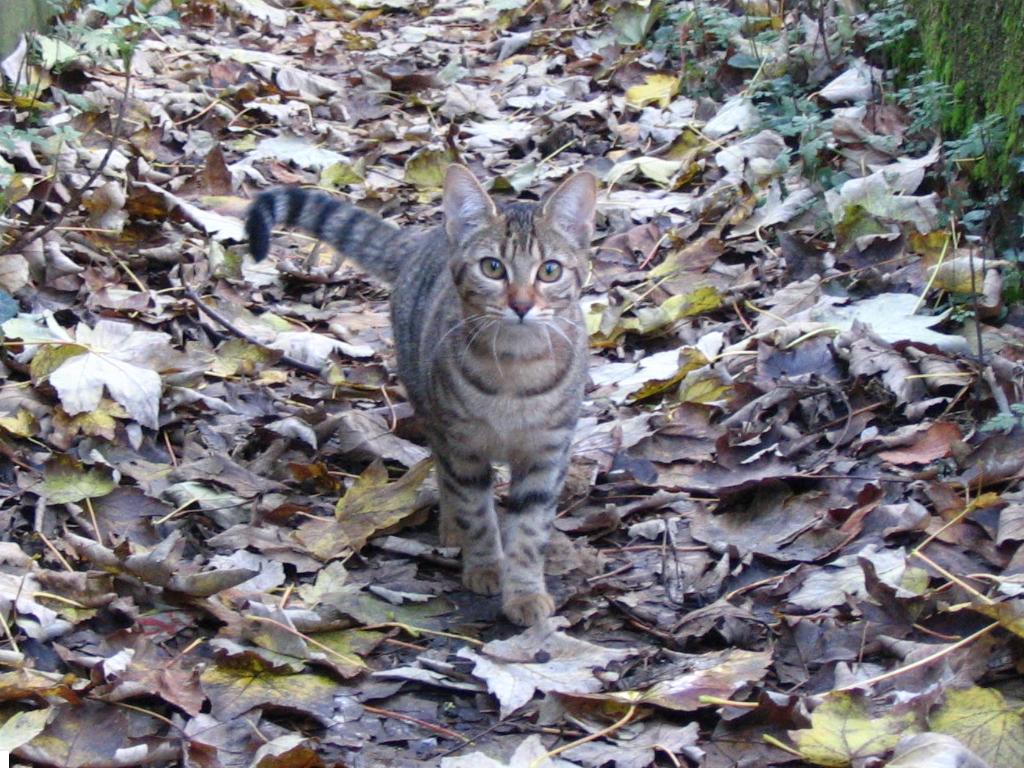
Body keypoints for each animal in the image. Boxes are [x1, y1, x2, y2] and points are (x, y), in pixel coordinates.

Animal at [247, 163, 598, 626]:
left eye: (550, 271)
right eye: (492, 267)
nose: (521, 304)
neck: (515, 371)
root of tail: (422, 241)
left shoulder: (547, 452)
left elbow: (530, 528)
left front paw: (524, 592)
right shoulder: (462, 443)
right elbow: (476, 510)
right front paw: (486, 566)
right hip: (430, 406)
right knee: (447, 476)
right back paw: (453, 528)